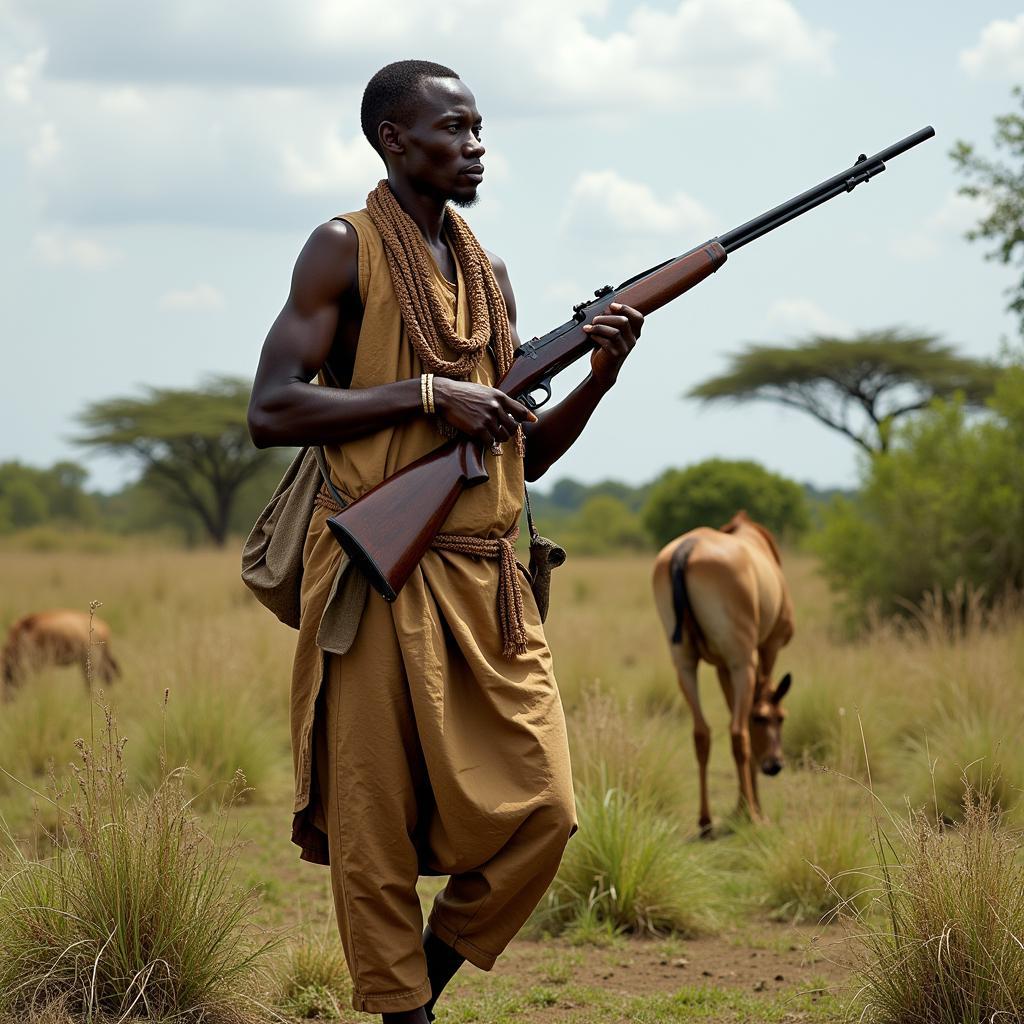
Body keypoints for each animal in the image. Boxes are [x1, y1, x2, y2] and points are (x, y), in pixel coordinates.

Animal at [651, 512, 794, 831]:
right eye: (776, 718)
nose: (775, 765)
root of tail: (687, 549)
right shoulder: (767, 649)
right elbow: (748, 720)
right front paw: (752, 810)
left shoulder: (719, 666)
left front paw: (741, 807)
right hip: (743, 662)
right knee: (738, 733)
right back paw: (751, 813)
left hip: (686, 663)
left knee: (702, 732)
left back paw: (706, 820)